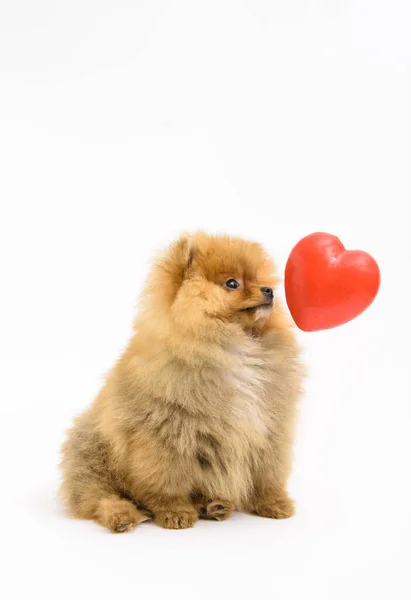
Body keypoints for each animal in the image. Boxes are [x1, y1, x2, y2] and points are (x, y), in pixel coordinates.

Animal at [62, 232, 306, 532]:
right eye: (232, 283)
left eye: (260, 280)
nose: (269, 290)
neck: (230, 344)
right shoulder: (165, 433)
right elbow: (167, 481)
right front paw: (175, 512)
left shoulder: (270, 429)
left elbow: (267, 475)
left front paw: (274, 503)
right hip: (93, 455)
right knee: (98, 496)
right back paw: (122, 516)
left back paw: (214, 505)